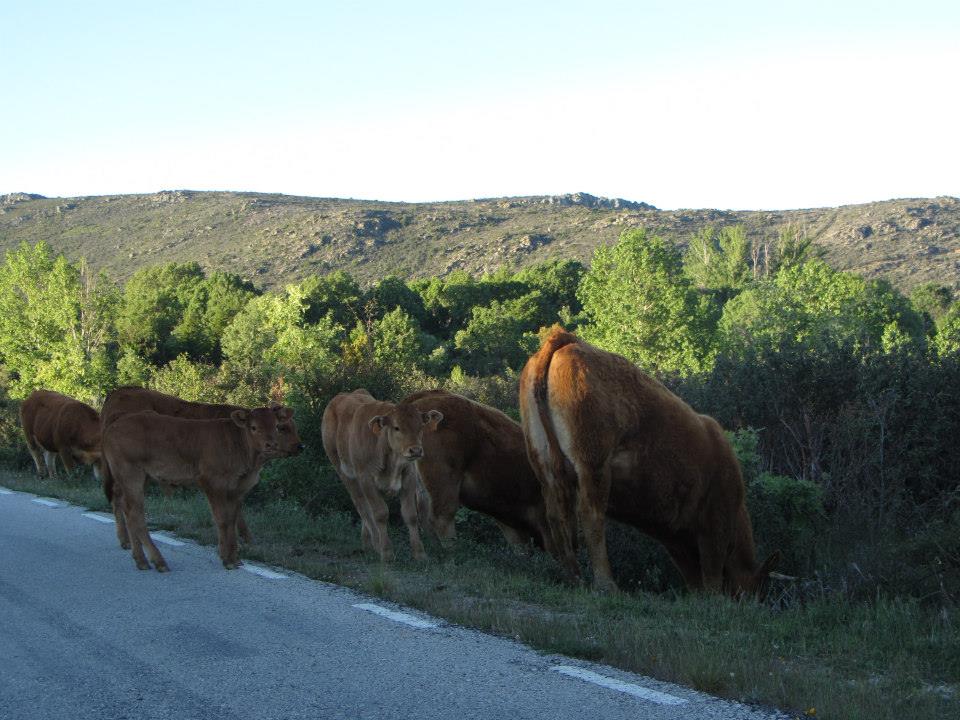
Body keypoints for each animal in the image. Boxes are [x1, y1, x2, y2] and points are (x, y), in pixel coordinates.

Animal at [99, 388, 298, 552]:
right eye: (283, 427)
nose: (300, 446)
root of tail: (117, 392)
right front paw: (245, 540)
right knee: (119, 500)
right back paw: (126, 541)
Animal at [320, 388, 444, 564]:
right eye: (397, 427)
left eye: (420, 426)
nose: (415, 450)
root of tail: (345, 394)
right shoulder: (366, 479)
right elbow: (380, 514)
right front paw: (386, 552)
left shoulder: (409, 477)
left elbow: (410, 515)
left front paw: (420, 554)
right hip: (344, 472)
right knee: (362, 506)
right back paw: (375, 543)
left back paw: (367, 542)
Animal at [516, 328, 780, 596]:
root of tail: (564, 340)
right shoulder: (715, 522)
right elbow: (711, 572)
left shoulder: (675, 535)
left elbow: (693, 574)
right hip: (593, 466)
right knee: (591, 517)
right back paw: (607, 584)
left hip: (546, 467)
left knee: (556, 516)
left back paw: (573, 578)